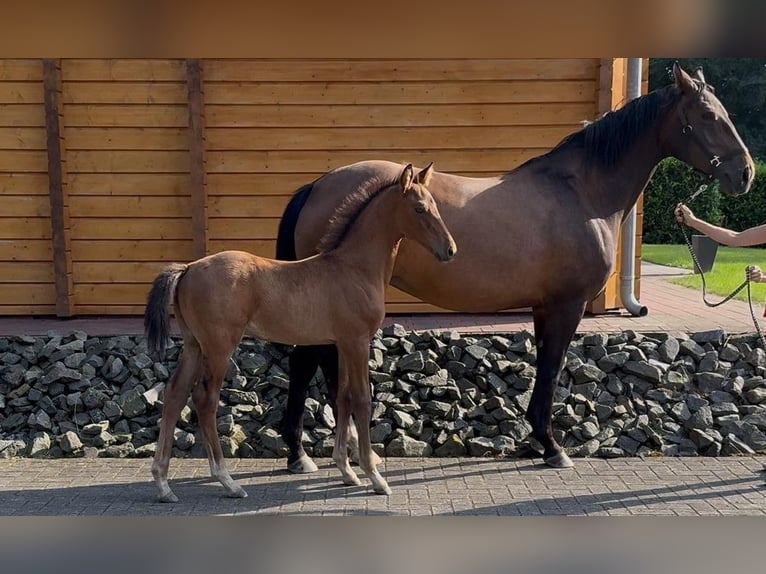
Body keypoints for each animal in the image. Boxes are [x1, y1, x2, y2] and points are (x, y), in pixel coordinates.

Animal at [144, 163, 457, 501]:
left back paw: (163, 484)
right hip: (218, 347)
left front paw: (347, 471)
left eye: (435, 205)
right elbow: (361, 399)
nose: (450, 249)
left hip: (193, 345)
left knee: (175, 394)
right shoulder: (357, 342)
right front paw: (374, 477)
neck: (353, 268)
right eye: (419, 208)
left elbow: (343, 397)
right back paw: (227, 481)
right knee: (205, 400)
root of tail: (187, 269)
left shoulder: (341, 344)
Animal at [276, 63, 755, 474]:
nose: (746, 174)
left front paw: (535, 441)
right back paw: (304, 454)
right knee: (307, 362)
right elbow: (552, 370)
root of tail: (316, 185)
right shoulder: (567, 305)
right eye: (708, 115)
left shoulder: (545, 307)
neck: (583, 193)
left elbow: (544, 367)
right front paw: (552, 447)